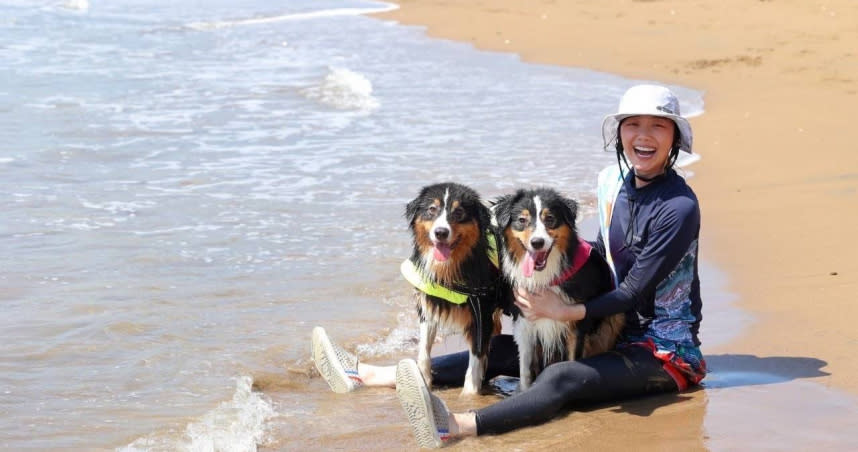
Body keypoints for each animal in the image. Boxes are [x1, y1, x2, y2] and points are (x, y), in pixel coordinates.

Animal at [402, 182, 508, 394]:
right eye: (431, 209)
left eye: (459, 212)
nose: (441, 232)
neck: (450, 268)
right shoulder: (428, 303)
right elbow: (424, 348)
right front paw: (423, 379)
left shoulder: (481, 310)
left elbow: (476, 358)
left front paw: (470, 394)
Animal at [488, 186, 620, 388]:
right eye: (522, 220)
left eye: (550, 218)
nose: (537, 242)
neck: (546, 277)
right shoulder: (523, 320)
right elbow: (526, 370)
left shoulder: (577, 324)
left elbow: (573, 361)